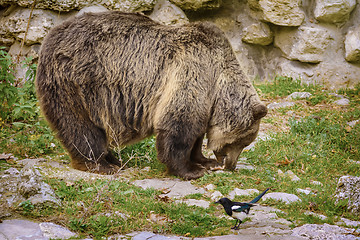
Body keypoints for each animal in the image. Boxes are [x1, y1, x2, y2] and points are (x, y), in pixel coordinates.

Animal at [35, 11, 268, 180]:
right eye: (244, 141)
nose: (230, 165)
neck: (218, 83)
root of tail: (51, 36)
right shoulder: (193, 69)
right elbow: (179, 125)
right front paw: (190, 170)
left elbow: (197, 132)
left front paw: (203, 160)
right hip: (76, 82)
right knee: (80, 127)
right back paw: (101, 164)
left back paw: (112, 159)